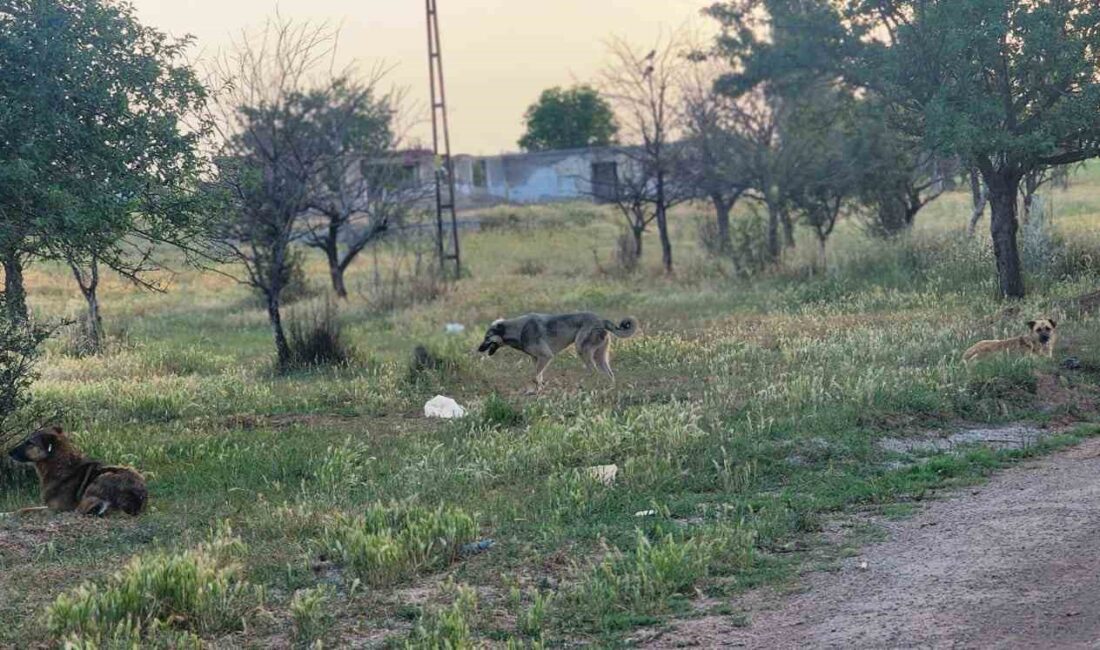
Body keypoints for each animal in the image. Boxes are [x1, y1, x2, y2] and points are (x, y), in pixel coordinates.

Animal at [5, 426, 146, 519]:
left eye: (30, 443)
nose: (9, 452)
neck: (61, 465)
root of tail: (136, 500)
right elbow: (26, 507)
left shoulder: (55, 508)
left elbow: (26, 510)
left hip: (104, 476)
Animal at [477, 312, 642, 389]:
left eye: (487, 337)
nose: (478, 349)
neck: (519, 330)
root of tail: (601, 320)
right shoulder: (537, 359)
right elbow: (538, 377)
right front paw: (539, 390)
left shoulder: (546, 356)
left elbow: (535, 377)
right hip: (599, 357)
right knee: (609, 374)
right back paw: (608, 388)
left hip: (582, 350)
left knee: (593, 372)